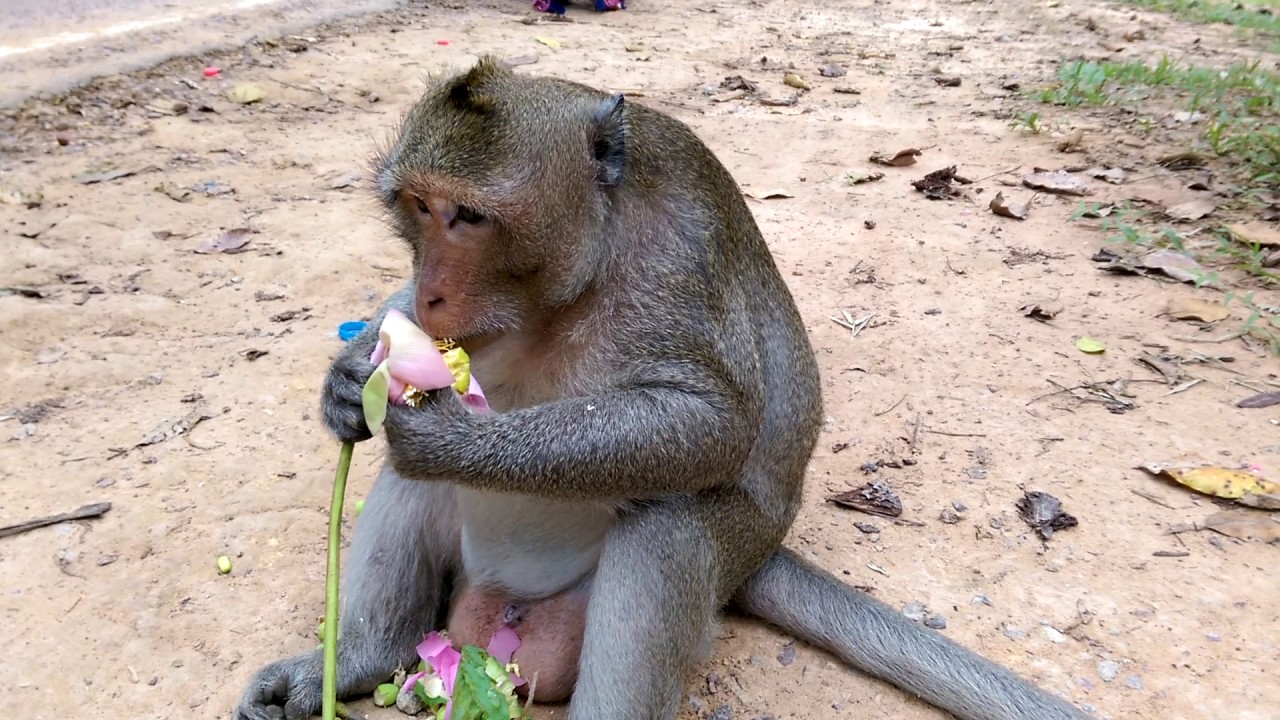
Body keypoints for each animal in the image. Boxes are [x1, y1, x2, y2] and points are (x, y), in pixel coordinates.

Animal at [234, 56, 1091, 720]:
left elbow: (712, 423)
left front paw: (451, 438)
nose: (434, 290)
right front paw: (350, 378)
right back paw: (359, 659)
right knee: (407, 482)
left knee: (669, 524)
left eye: (469, 217)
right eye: (417, 207)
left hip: (723, 547)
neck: (574, 278)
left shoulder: (676, 256)